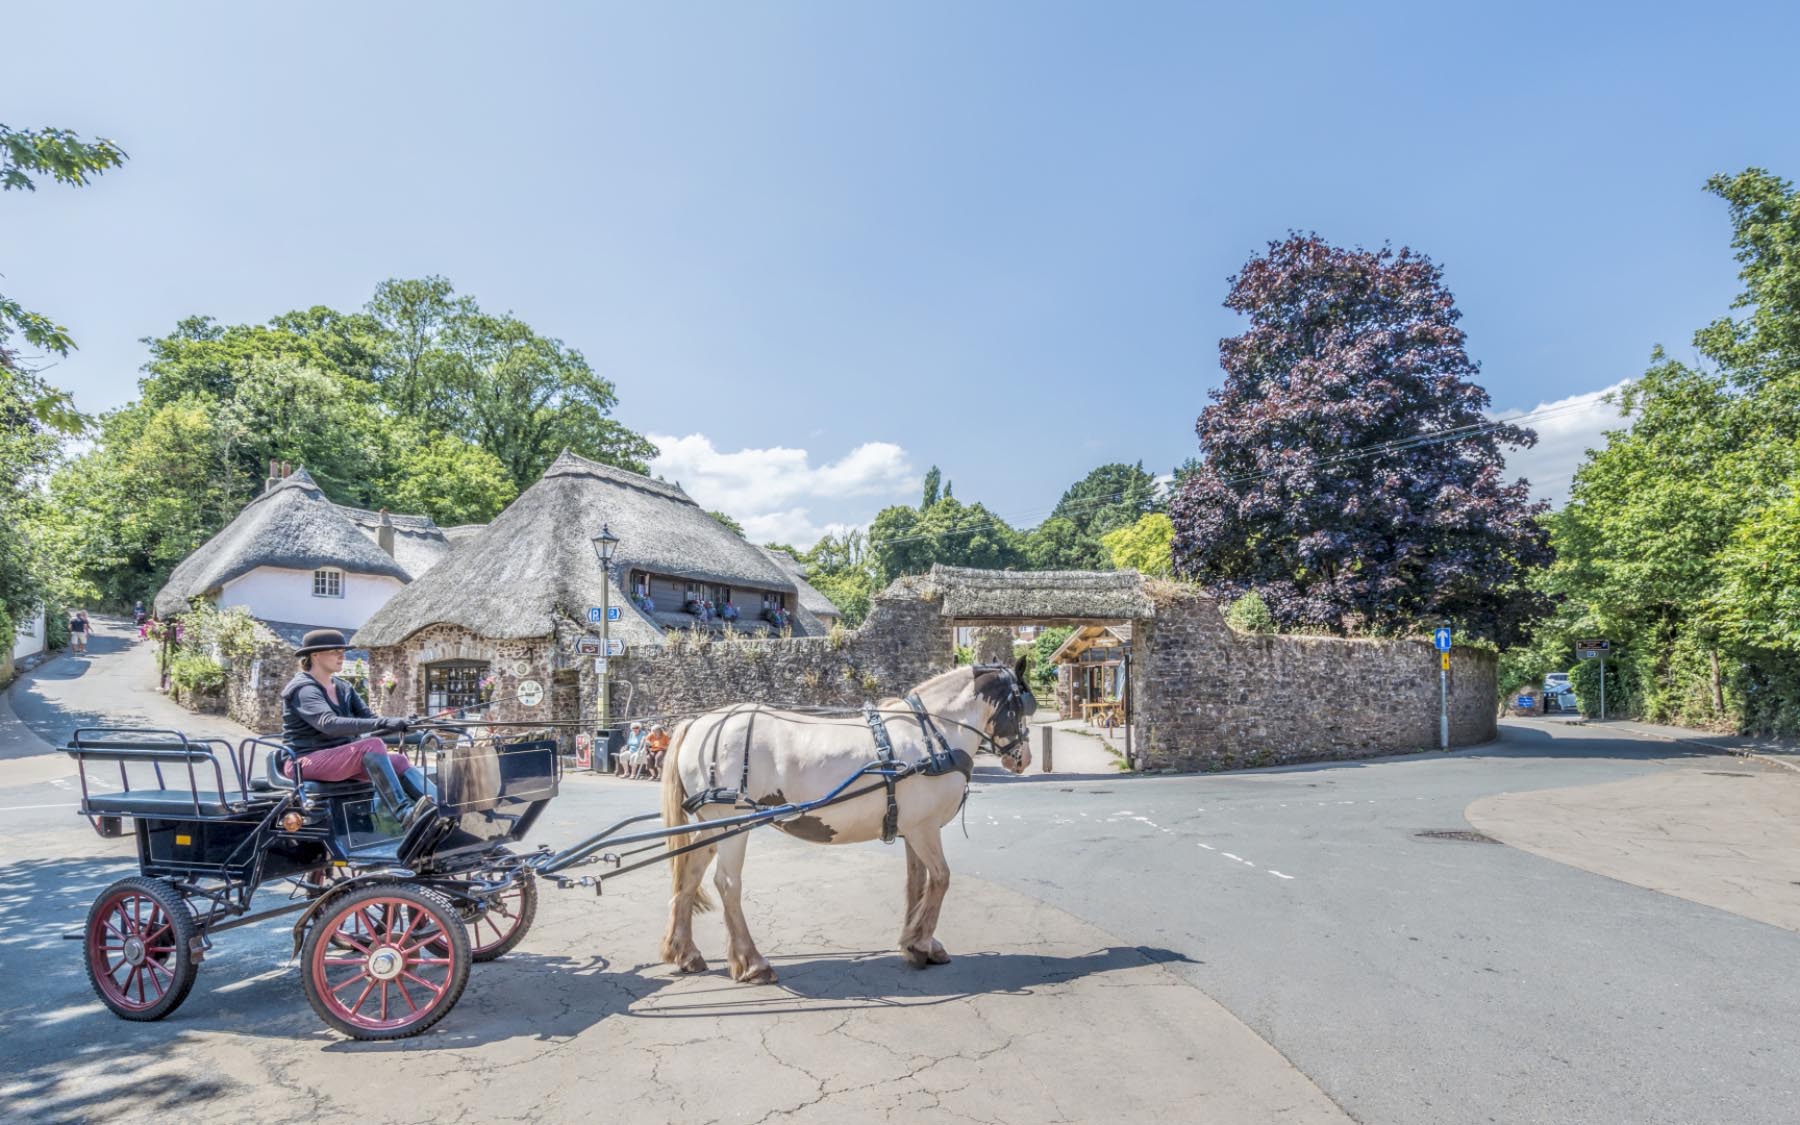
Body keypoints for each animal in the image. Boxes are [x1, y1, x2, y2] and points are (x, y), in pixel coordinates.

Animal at [662, 655, 1036, 979]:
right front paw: (920, 944)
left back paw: (685, 952)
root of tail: (698, 724)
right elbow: (941, 879)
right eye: (1021, 706)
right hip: (733, 823)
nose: (1024, 758)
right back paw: (752, 962)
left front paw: (916, 942)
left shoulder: (912, 828)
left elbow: (917, 883)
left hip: (713, 826)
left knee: (690, 874)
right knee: (727, 883)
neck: (933, 733)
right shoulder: (924, 828)